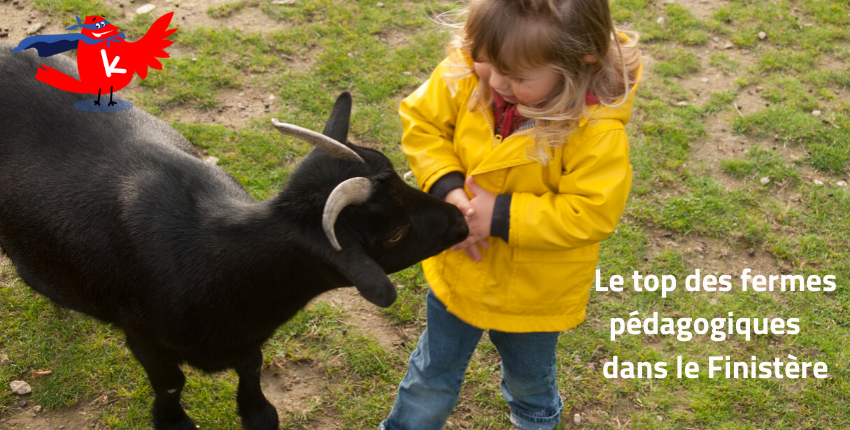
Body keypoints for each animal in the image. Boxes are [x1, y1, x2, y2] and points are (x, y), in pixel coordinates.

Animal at [0, 45, 464, 428]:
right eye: (395, 232)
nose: (460, 219)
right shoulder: (143, 338)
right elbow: (171, 383)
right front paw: (173, 422)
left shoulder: (246, 340)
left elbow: (252, 369)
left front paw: (257, 412)